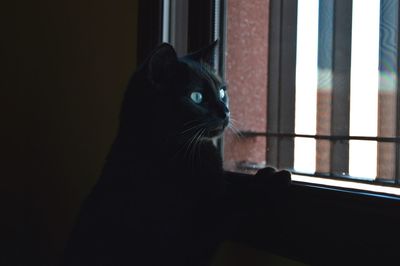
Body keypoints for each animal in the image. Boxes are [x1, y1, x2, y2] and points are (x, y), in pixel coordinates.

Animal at [65, 41, 290, 266]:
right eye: (196, 97)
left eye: (222, 92)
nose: (225, 111)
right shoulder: (192, 236)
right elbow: (233, 204)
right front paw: (270, 179)